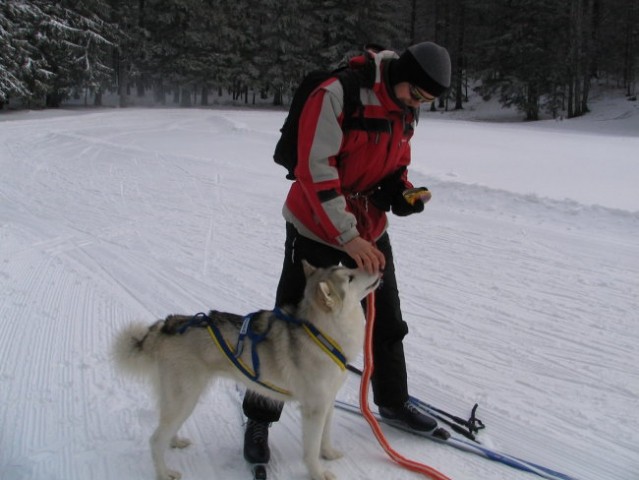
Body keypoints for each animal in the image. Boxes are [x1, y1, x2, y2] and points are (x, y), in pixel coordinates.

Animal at [112, 260, 380, 480]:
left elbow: (325, 437)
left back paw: (175, 441)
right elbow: (311, 450)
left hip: (180, 401)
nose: (378, 266)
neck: (323, 334)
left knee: (165, 429)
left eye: (348, 268)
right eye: (350, 277)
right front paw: (318, 473)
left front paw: (329, 454)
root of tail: (166, 325)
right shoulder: (313, 409)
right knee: (155, 440)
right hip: (185, 398)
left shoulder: (327, 403)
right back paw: (164, 473)